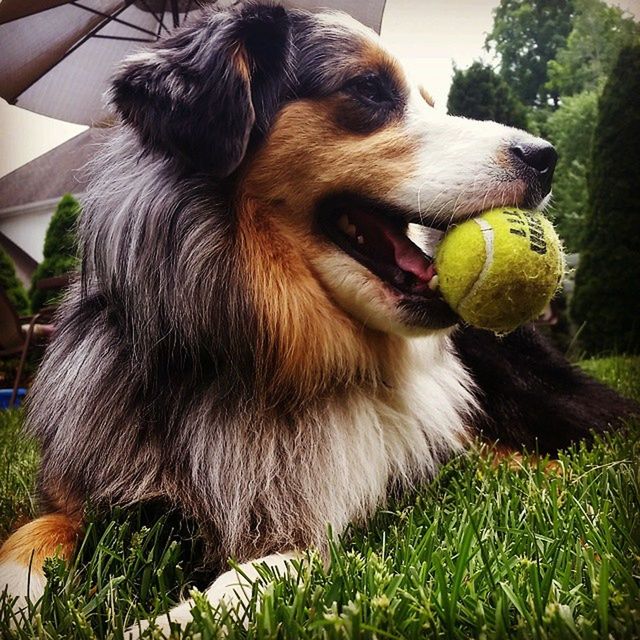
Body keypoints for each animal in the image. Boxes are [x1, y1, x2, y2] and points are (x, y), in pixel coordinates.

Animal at [0, 1, 632, 636]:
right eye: (370, 89)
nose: (546, 157)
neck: (258, 362)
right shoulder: (76, 492)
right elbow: (25, 540)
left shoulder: (345, 520)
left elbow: (259, 572)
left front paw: (162, 624)